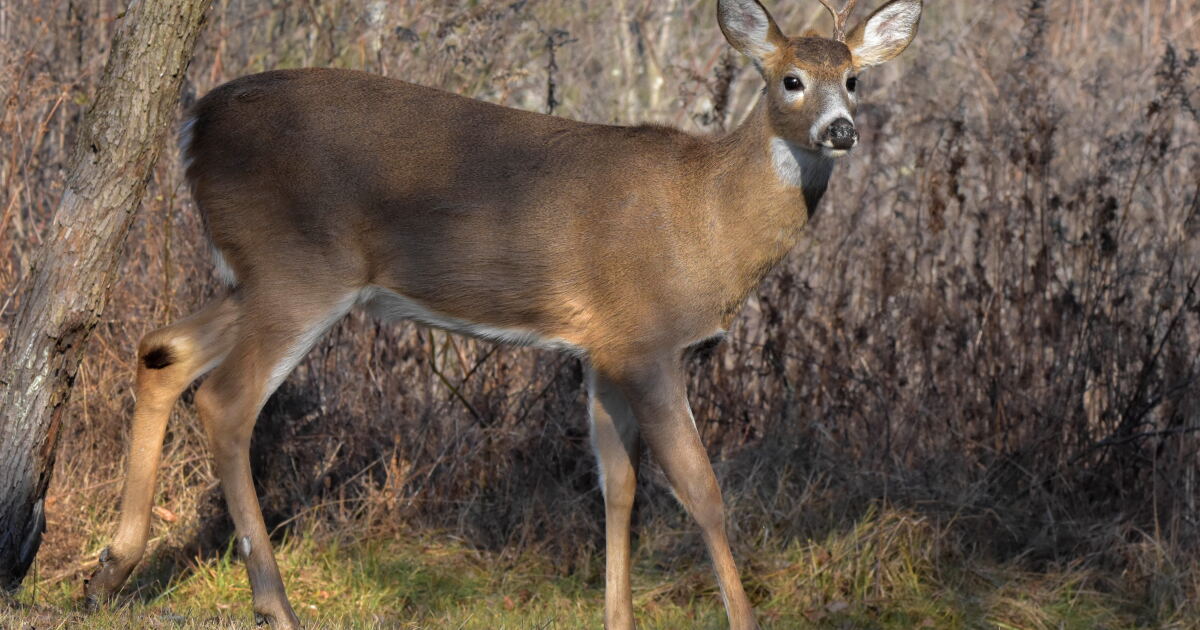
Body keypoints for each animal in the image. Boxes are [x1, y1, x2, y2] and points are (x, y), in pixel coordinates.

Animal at [82, 0, 922, 627]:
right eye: (790, 80)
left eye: (854, 79)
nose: (841, 130)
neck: (707, 220)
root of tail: (191, 127)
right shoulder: (649, 340)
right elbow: (701, 491)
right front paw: (742, 618)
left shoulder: (603, 348)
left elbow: (619, 487)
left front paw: (616, 617)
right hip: (299, 267)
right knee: (225, 400)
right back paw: (275, 605)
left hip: (254, 276)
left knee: (161, 350)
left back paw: (109, 571)